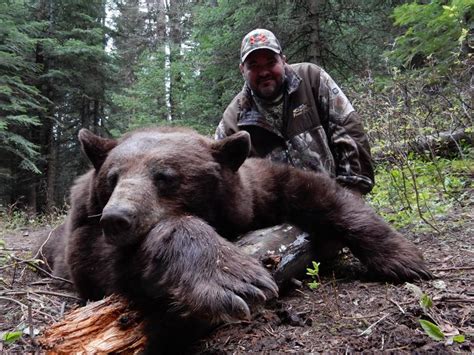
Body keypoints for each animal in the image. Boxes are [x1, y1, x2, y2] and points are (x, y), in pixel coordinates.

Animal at [42, 126, 432, 354]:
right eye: (112, 178)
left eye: (164, 176)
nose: (117, 218)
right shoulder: (84, 230)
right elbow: (98, 261)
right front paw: (232, 278)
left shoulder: (254, 191)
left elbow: (314, 190)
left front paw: (403, 257)